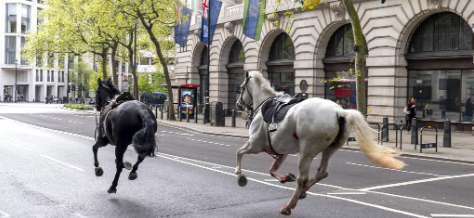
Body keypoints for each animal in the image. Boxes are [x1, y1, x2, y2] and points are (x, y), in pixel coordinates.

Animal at [235, 70, 406, 215]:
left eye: (241, 88)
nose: (238, 105)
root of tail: (340, 111)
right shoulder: (281, 151)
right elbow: (272, 170)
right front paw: (285, 177)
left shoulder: (255, 145)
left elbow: (239, 153)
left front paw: (240, 177)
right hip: (330, 149)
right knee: (321, 172)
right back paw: (302, 192)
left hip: (306, 151)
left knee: (302, 179)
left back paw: (289, 205)